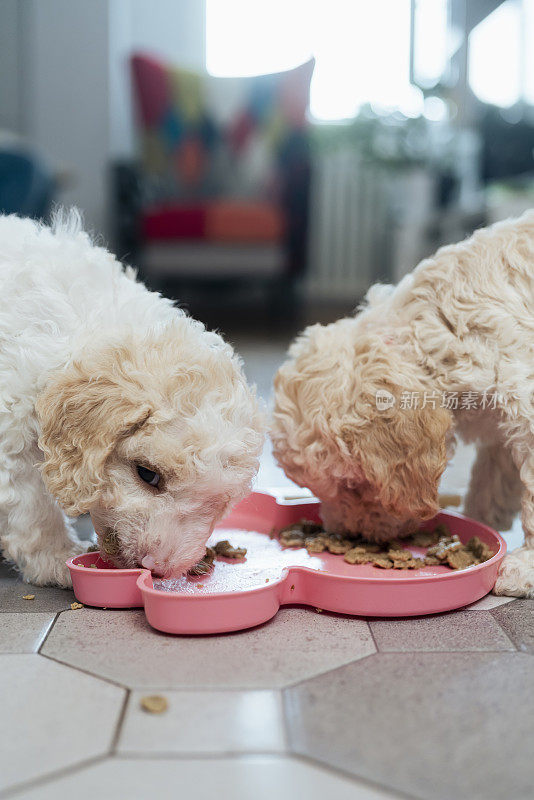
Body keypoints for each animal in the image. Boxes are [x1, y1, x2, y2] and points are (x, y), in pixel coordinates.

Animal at [0, 212, 264, 588]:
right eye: (147, 474)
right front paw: (56, 559)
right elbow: (32, 509)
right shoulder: (12, 436)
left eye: (220, 503)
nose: (157, 567)